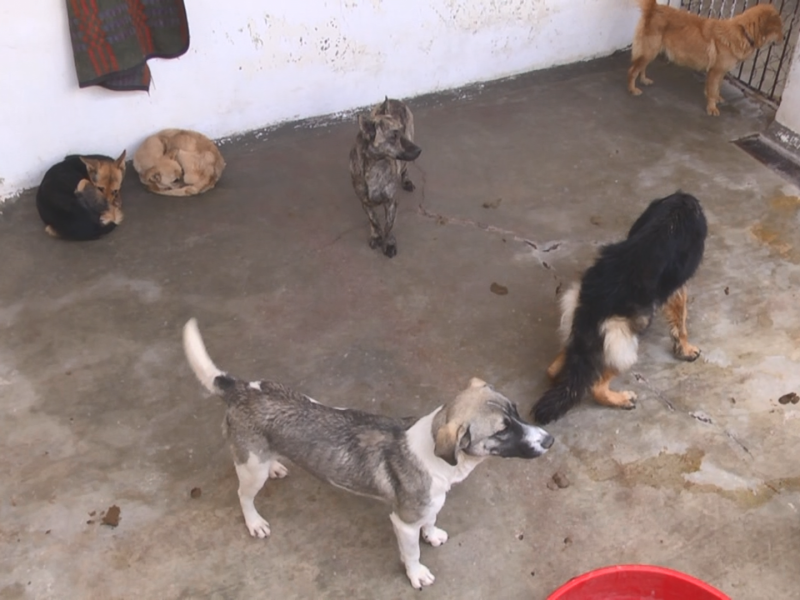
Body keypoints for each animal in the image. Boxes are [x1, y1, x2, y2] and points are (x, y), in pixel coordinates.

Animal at [348, 96, 422, 258]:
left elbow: (388, 226)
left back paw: (406, 181)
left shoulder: (391, 202)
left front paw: (388, 244)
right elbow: (374, 220)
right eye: (394, 135)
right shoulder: (365, 203)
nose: (419, 150)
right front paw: (376, 236)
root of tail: (395, 100)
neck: (375, 165)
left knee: (405, 169)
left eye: (402, 130)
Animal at [532, 191, 708, 422]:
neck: (673, 213)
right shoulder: (677, 288)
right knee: (595, 386)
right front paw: (685, 349)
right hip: (624, 342)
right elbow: (681, 324)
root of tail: (591, 306)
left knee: (554, 368)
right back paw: (621, 399)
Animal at [628, 0, 784, 116]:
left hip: (651, 52)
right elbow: (713, 89)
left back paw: (644, 79)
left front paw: (717, 98)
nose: (784, 38)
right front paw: (712, 107)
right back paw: (632, 89)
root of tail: (654, 8)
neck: (744, 33)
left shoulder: (720, 71)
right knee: (633, 70)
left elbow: (717, 88)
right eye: (779, 29)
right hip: (649, 51)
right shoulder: (716, 71)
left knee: (642, 67)